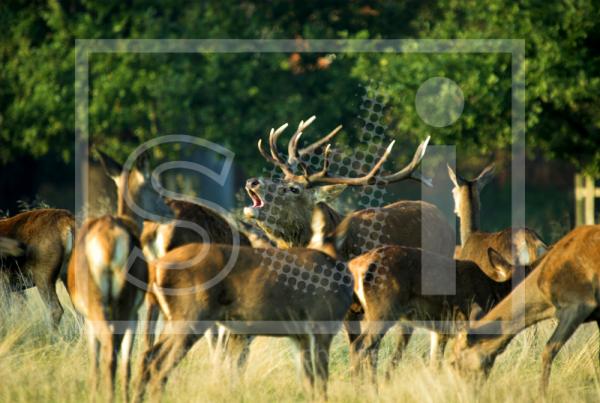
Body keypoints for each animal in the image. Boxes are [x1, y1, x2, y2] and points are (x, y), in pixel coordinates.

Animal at [67, 216, 148, 402]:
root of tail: (109, 238)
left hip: (97, 306)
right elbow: (127, 364)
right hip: (124, 309)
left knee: (109, 351)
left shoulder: (88, 321)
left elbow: (94, 364)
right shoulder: (134, 316)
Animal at [135, 243, 352, 400]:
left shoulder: (300, 336)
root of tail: (155, 268)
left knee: (148, 356)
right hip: (191, 316)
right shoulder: (322, 324)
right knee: (160, 364)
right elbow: (321, 379)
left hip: (174, 318)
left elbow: (308, 381)